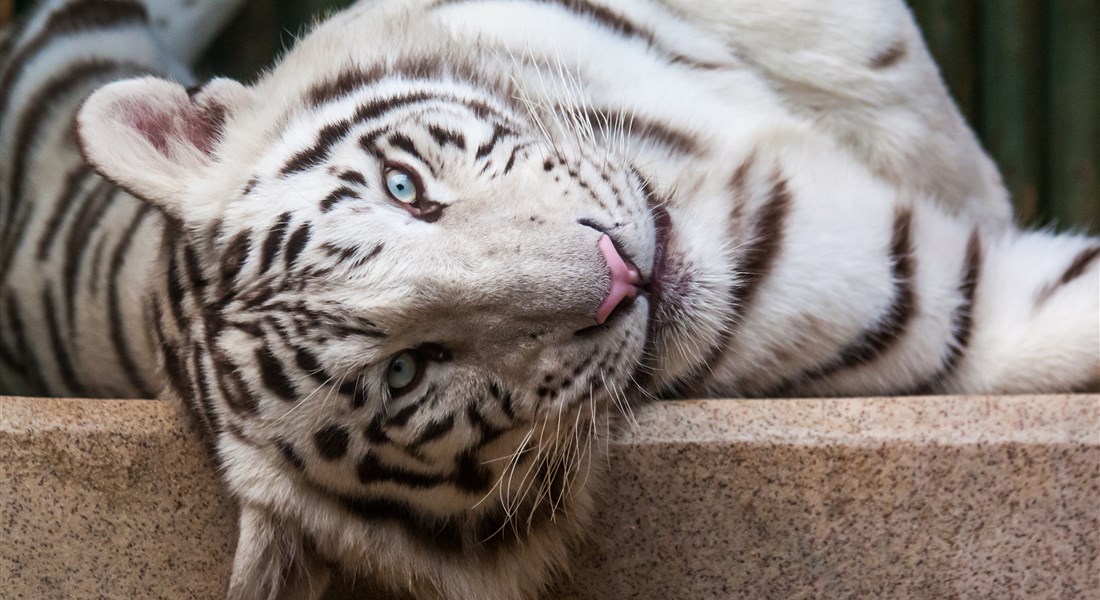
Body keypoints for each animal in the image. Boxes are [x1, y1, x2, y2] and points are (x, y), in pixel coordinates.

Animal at [0, 0, 1095, 594]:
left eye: (406, 188)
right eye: (409, 371)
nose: (619, 271)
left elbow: (870, 62)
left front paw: (962, 174)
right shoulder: (953, 307)